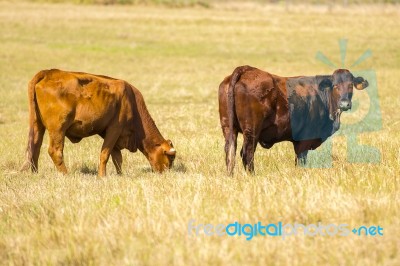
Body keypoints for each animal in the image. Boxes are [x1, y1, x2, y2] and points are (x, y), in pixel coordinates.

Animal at [20, 69, 175, 176]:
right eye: (171, 157)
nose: (167, 173)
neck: (131, 101)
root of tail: (49, 72)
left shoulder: (114, 135)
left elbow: (117, 157)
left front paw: (120, 175)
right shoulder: (114, 129)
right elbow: (105, 154)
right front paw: (102, 176)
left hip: (37, 125)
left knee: (35, 147)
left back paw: (35, 173)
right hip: (57, 129)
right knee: (55, 151)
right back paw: (66, 175)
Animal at [219, 65, 368, 175]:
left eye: (350, 85)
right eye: (335, 86)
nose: (344, 104)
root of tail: (246, 69)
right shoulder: (304, 140)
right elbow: (300, 162)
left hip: (228, 128)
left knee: (230, 152)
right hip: (252, 131)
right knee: (247, 154)